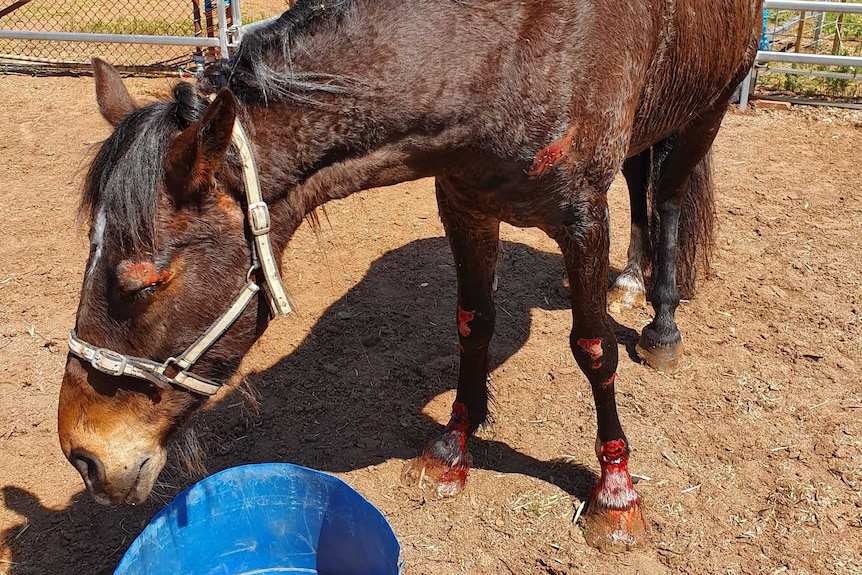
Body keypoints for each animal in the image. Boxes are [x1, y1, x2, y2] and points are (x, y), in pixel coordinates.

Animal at [59, 0, 764, 548]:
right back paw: (630, 281)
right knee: (641, 182)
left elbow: (593, 351)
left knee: (666, 200)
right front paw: (453, 447)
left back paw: (661, 323)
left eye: (142, 282)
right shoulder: (464, 204)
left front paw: (615, 493)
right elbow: (474, 323)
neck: (505, 47)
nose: (84, 455)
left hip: (704, 112)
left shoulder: (583, 221)